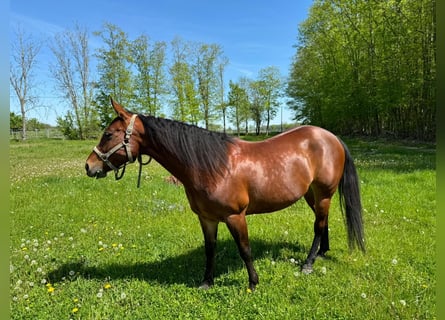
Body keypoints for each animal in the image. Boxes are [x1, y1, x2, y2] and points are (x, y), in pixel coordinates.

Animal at [85, 99, 362, 292]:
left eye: (108, 134)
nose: (89, 166)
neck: (210, 166)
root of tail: (331, 137)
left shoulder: (235, 216)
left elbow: (245, 250)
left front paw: (253, 283)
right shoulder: (207, 218)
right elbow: (210, 249)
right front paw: (207, 281)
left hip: (323, 193)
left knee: (318, 225)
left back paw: (308, 263)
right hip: (311, 194)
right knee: (322, 222)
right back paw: (321, 253)